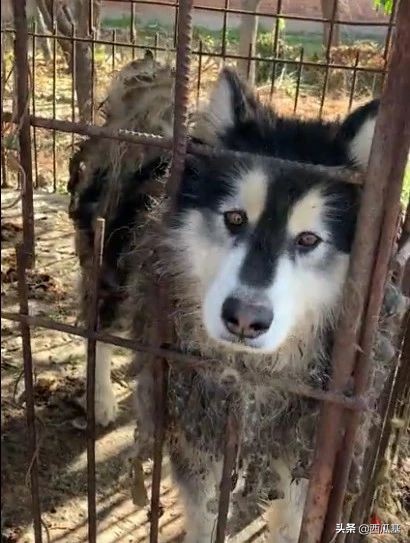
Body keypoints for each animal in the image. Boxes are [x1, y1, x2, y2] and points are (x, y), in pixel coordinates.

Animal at [68, 53, 382, 540]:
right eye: (234, 218)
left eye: (308, 240)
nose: (245, 319)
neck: (253, 375)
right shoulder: (196, 431)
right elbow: (205, 513)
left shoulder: (303, 443)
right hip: (111, 271)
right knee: (97, 329)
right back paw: (99, 398)